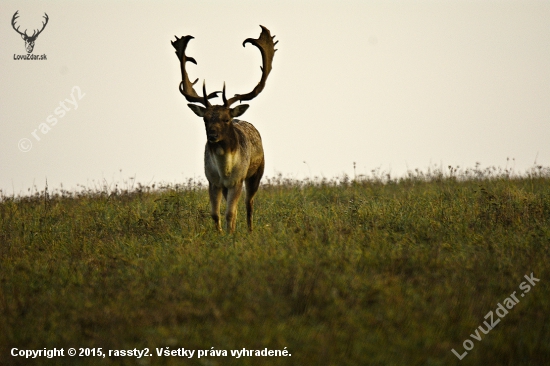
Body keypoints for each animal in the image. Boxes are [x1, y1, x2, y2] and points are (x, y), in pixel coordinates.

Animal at [172, 25, 278, 233]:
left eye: (226, 118)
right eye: (205, 119)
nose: (212, 135)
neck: (225, 170)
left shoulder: (237, 180)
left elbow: (230, 213)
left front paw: (231, 235)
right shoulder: (212, 181)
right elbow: (215, 214)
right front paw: (220, 235)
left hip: (257, 172)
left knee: (249, 204)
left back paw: (250, 231)